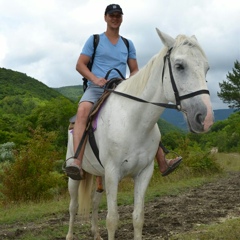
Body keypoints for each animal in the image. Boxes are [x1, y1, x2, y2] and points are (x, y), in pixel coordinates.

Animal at [65, 28, 214, 240]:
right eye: (179, 66)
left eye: (207, 68)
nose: (206, 118)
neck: (132, 121)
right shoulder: (112, 173)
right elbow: (112, 219)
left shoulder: (144, 173)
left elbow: (138, 217)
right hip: (75, 177)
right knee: (73, 206)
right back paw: (70, 235)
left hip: (99, 175)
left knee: (94, 202)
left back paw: (96, 234)